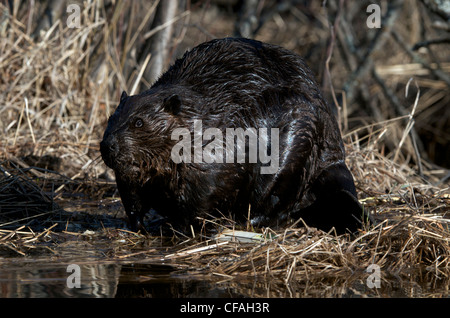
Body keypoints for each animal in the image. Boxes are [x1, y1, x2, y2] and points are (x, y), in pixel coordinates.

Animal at [100, 38, 368, 235]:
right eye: (111, 118)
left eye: (138, 122)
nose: (108, 146)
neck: (199, 118)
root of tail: (334, 160)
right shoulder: (132, 178)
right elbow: (131, 196)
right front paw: (139, 225)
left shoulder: (214, 156)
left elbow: (202, 196)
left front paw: (180, 226)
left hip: (297, 143)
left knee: (277, 202)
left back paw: (244, 222)